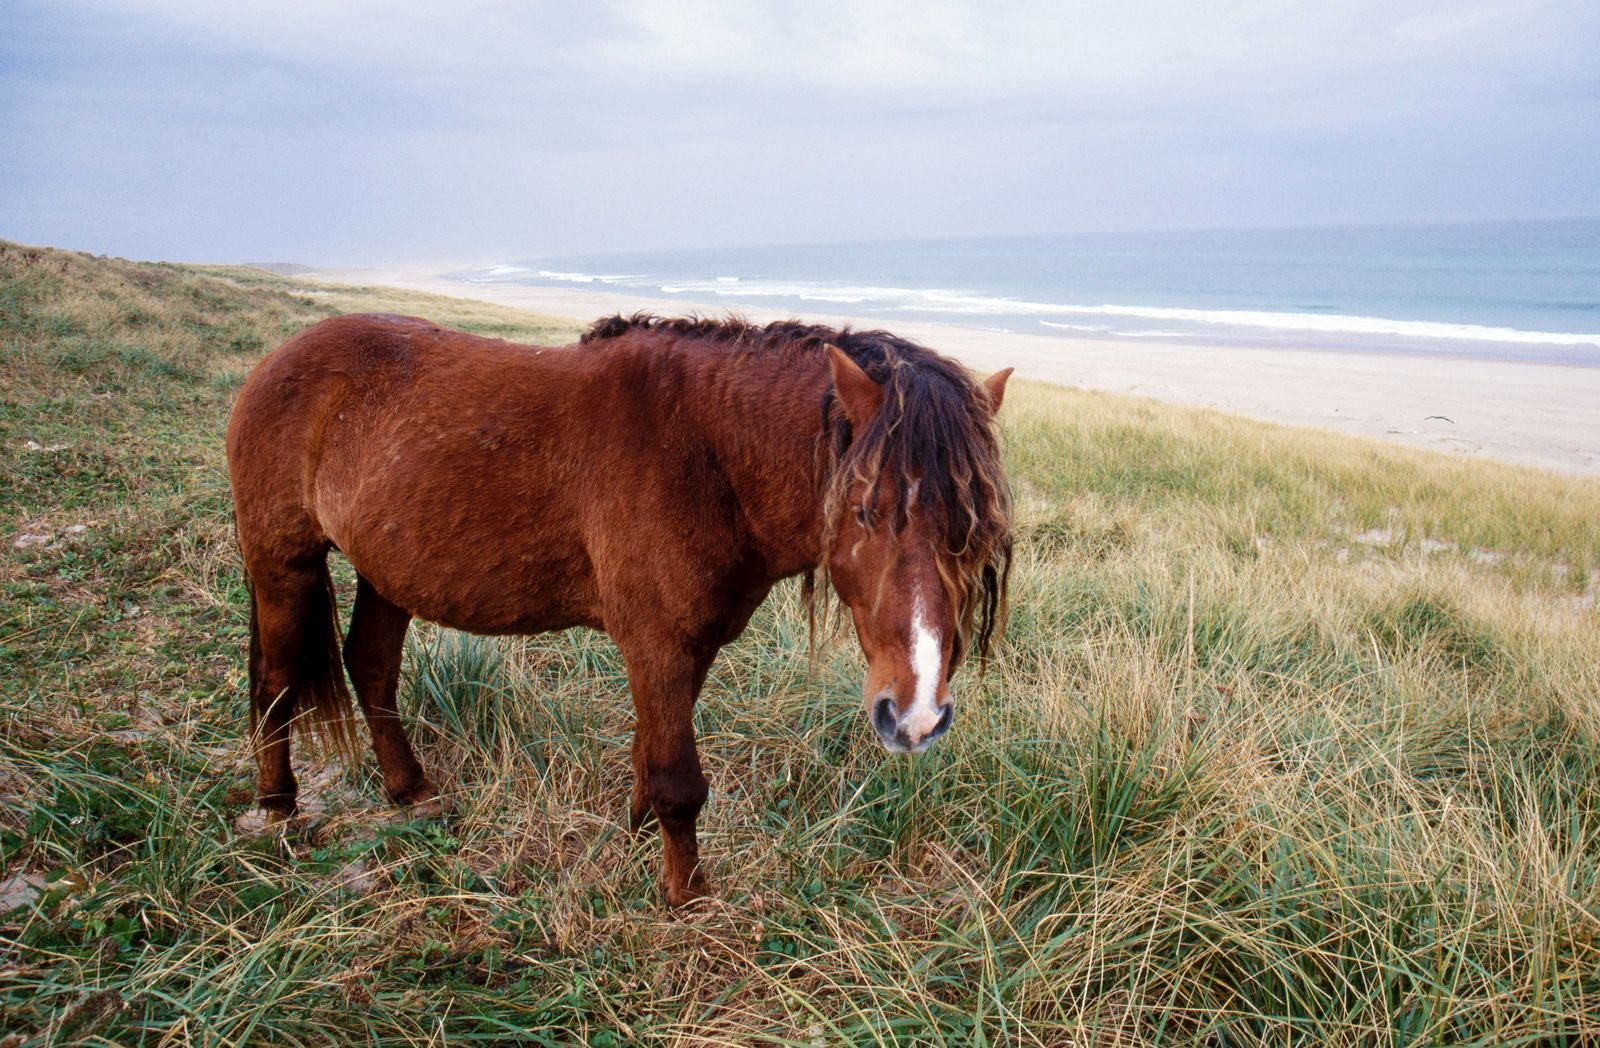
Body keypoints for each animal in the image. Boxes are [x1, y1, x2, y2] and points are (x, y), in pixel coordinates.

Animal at [225, 307, 1011, 908]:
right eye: (865, 512)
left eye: (976, 534)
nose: (915, 717)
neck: (705, 450)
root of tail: (280, 358)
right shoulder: (656, 642)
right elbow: (679, 781)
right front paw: (687, 901)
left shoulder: (692, 644)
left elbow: (650, 753)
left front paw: (636, 835)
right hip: (282, 565)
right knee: (277, 684)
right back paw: (278, 809)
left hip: (387, 571)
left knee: (372, 668)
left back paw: (411, 792)